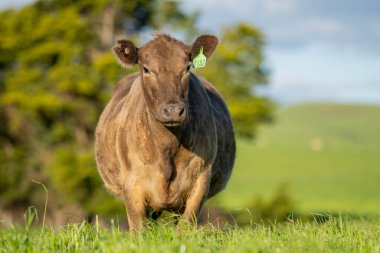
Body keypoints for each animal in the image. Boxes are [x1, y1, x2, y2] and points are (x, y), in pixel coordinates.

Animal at [95, 33, 235, 233]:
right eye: (146, 69)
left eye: (187, 68)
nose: (173, 110)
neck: (167, 149)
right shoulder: (132, 183)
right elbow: (139, 228)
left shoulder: (201, 178)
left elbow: (185, 226)